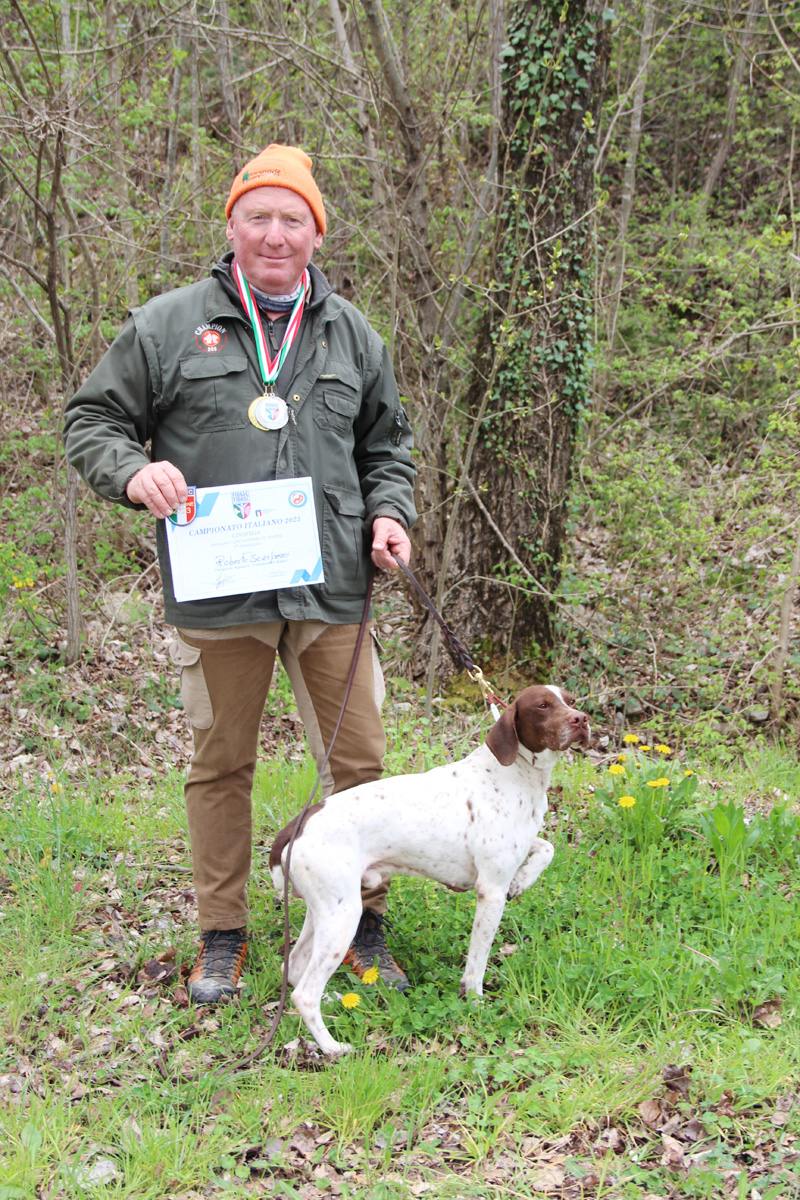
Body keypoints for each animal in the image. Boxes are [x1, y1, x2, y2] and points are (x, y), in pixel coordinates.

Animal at [268, 681, 587, 1056]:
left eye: (571, 701)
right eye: (542, 705)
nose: (582, 719)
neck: (515, 775)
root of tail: (296, 825)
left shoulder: (518, 850)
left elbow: (547, 848)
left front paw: (523, 880)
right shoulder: (491, 892)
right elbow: (476, 967)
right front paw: (476, 1006)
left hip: (324, 912)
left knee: (293, 969)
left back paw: (335, 1000)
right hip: (343, 916)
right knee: (304, 993)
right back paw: (333, 1047)